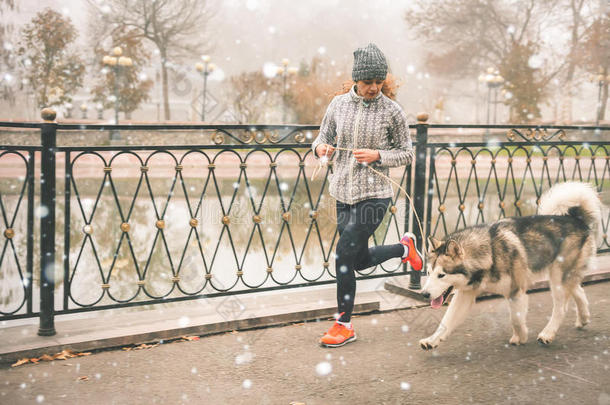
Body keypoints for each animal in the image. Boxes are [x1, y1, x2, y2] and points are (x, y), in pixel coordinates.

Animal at [418, 180, 600, 348]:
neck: (489, 253)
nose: (424, 294)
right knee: (578, 290)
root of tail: (575, 218)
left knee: (561, 308)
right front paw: (432, 340)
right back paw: (583, 319)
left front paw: (521, 336)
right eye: (428, 273)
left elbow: (516, 319)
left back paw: (547, 334)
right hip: (562, 274)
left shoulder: (515, 291)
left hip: (558, 278)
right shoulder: (465, 294)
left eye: (441, 275)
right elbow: (447, 320)